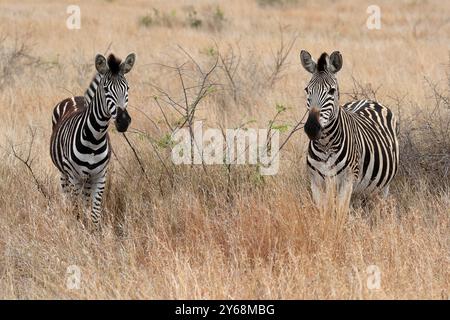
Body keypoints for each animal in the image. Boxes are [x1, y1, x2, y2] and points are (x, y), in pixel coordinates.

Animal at [50, 52, 135, 225]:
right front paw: (79, 228)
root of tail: (74, 97)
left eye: (127, 88)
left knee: (85, 201)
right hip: (65, 174)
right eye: (105, 89)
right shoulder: (75, 177)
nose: (123, 121)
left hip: (87, 180)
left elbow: (95, 214)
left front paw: (93, 230)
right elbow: (77, 212)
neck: (94, 139)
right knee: (68, 199)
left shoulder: (100, 177)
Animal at [300, 49, 400, 205]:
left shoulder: (347, 181)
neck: (325, 144)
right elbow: (324, 211)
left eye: (332, 91)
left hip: (384, 185)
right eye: (307, 89)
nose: (311, 128)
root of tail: (368, 100)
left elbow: (340, 211)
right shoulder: (316, 182)